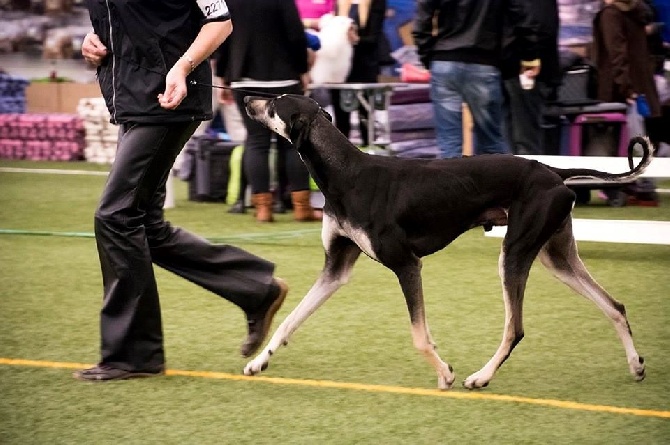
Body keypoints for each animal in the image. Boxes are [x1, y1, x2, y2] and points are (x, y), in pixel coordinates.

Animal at [244, 93, 652, 388]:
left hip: (514, 253)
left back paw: (481, 377)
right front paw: (258, 361)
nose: (247, 98)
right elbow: (288, 321)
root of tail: (553, 170)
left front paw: (445, 373)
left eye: (275, 103)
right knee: (615, 306)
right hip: (557, 257)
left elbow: (420, 336)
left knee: (515, 328)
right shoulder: (335, 268)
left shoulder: (407, 264)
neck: (347, 174)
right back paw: (636, 365)